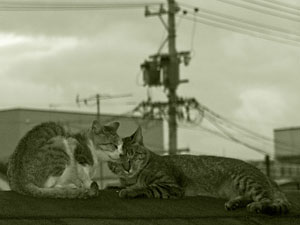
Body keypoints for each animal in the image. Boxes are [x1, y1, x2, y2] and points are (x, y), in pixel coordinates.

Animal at [108, 126, 290, 214]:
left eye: (132, 155)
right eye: (118, 160)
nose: (127, 167)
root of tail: (267, 177)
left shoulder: (172, 187)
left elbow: (147, 188)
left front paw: (130, 190)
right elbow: (122, 184)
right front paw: (116, 185)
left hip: (247, 181)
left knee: (268, 200)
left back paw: (257, 206)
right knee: (250, 197)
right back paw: (234, 203)